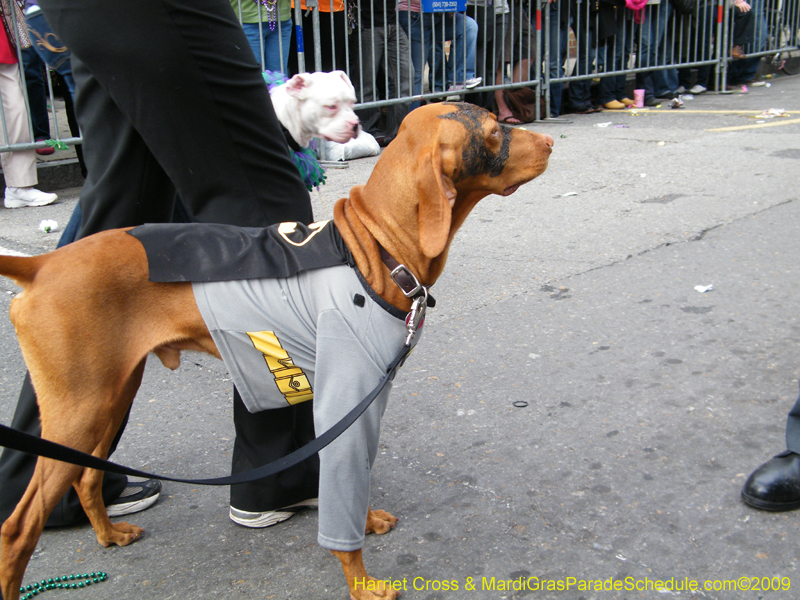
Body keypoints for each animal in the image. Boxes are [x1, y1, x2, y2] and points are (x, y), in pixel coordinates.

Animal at [0, 103, 552, 600]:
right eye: (493, 130)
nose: (549, 141)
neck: (374, 248)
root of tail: (42, 266)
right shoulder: (345, 398)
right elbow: (344, 500)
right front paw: (361, 583)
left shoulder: (360, 403)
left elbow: (354, 478)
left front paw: (366, 519)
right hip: (80, 410)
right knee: (18, 527)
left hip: (108, 399)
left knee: (86, 477)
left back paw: (109, 533)